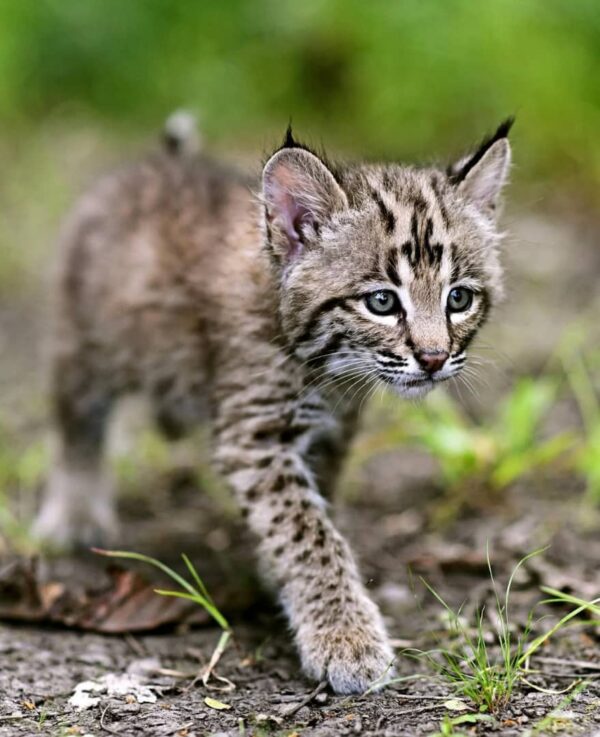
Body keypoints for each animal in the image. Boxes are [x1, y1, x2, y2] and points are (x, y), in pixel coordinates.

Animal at [34, 118, 510, 692]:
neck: (324, 367)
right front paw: (345, 639)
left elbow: (314, 510)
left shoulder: (333, 429)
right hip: (85, 345)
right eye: (381, 302)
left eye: (458, 298)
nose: (435, 359)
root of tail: (160, 164)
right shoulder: (255, 434)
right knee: (77, 420)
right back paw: (75, 512)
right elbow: (306, 531)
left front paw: (282, 579)